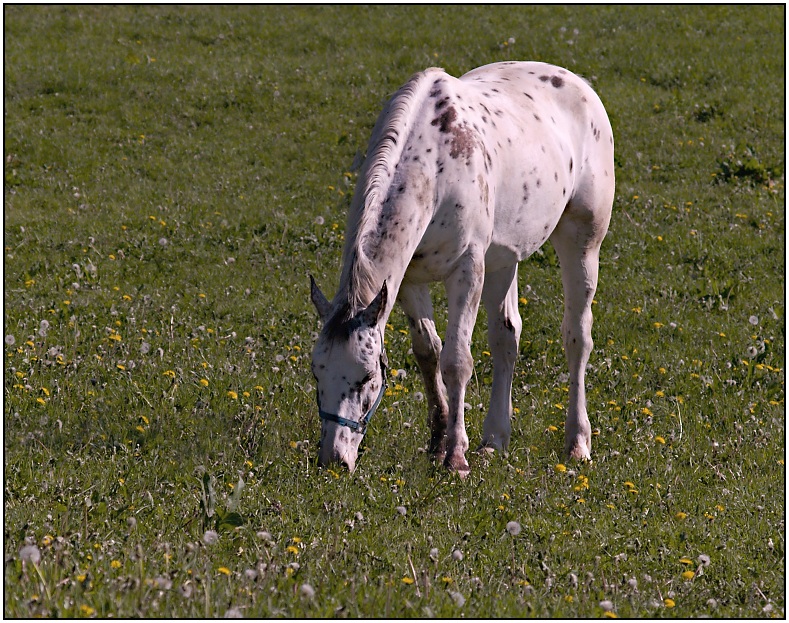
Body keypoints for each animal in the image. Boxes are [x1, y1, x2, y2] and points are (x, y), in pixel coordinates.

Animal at [310, 61, 612, 476]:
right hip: (503, 260)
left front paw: (455, 456)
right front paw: (437, 443)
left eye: (367, 377)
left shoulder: (467, 271)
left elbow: (456, 360)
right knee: (506, 338)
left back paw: (577, 443)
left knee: (577, 337)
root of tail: (579, 84)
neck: (434, 168)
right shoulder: (408, 281)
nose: (333, 460)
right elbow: (428, 352)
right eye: (316, 373)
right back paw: (494, 440)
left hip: (581, 244)